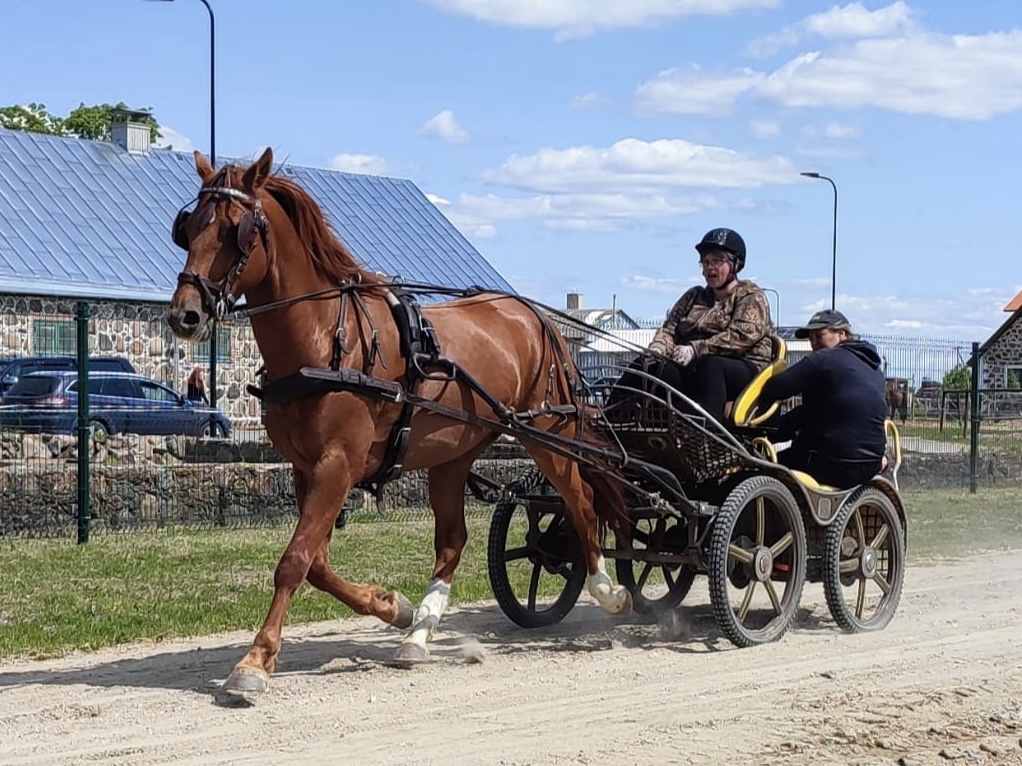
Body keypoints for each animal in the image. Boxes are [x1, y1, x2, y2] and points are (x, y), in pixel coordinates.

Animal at [166, 150, 629, 694]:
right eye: (189, 227)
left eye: (234, 229)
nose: (185, 315)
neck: (328, 339)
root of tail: (534, 315)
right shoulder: (307, 469)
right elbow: (316, 564)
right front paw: (394, 607)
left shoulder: (338, 465)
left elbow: (294, 561)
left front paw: (255, 661)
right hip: (454, 453)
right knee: (452, 541)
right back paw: (419, 633)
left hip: (548, 433)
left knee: (581, 502)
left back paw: (608, 589)